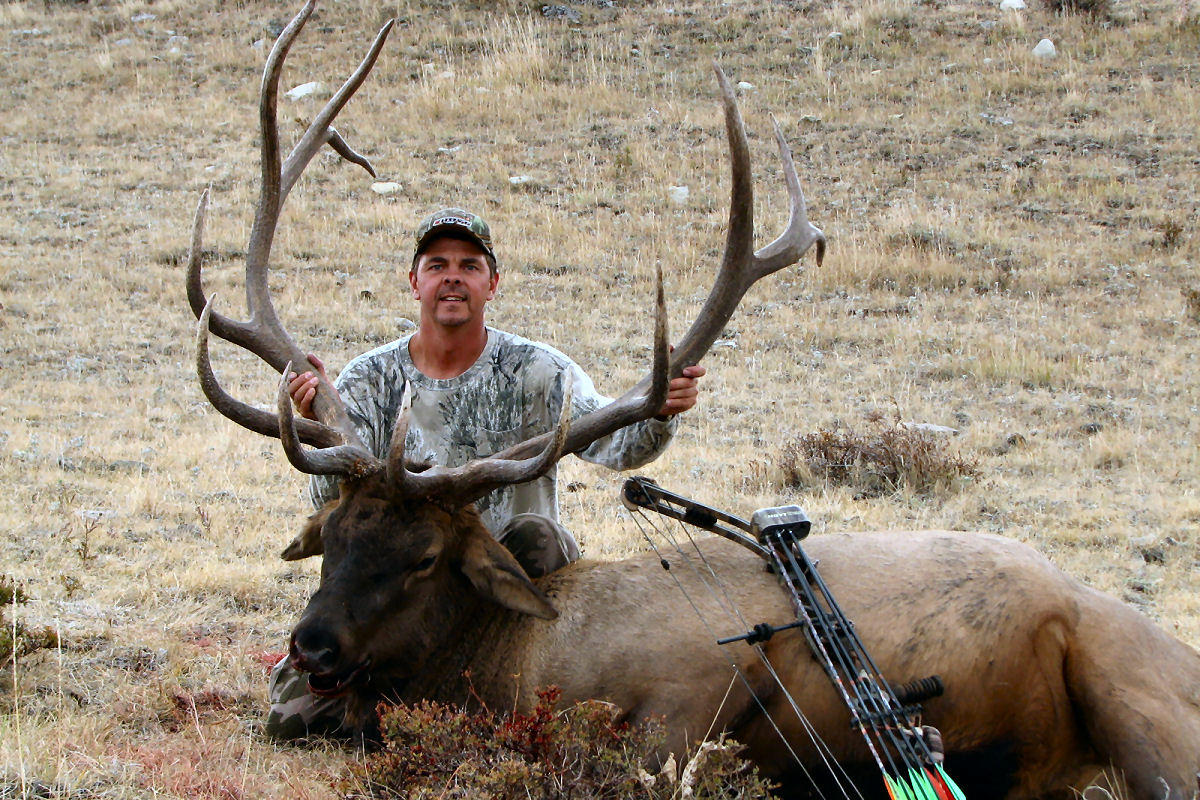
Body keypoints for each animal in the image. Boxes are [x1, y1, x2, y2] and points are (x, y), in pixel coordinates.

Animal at [189, 3, 1200, 796]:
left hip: (1132, 686)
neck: (514, 662)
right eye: (333, 535)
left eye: (426, 557)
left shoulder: (696, 682)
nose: (312, 648)